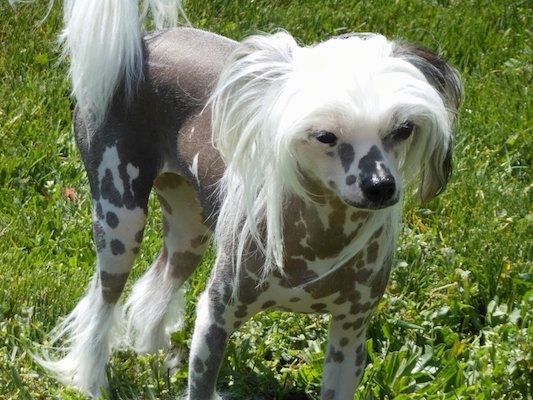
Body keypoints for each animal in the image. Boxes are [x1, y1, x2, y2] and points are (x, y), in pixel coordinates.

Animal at [36, 0, 462, 400]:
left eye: (403, 129)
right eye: (325, 136)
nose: (381, 186)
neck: (322, 238)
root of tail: (142, 44)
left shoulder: (350, 335)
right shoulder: (216, 317)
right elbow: (201, 384)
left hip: (189, 227)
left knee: (160, 280)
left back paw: (153, 351)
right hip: (120, 222)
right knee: (102, 301)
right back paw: (92, 379)